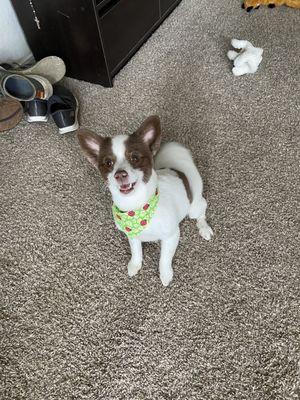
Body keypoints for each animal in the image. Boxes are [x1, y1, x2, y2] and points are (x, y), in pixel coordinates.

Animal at [77, 115, 213, 288]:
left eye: (135, 157)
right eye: (108, 163)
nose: (119, 174)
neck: (137, 208)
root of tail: (179, 170)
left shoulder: (172, 236)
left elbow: (164, 259)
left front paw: (165, 275)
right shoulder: (132, 236)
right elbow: (136, 253)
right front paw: (135, 265)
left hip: (194, 208)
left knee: (202, 212)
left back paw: (204, 228)